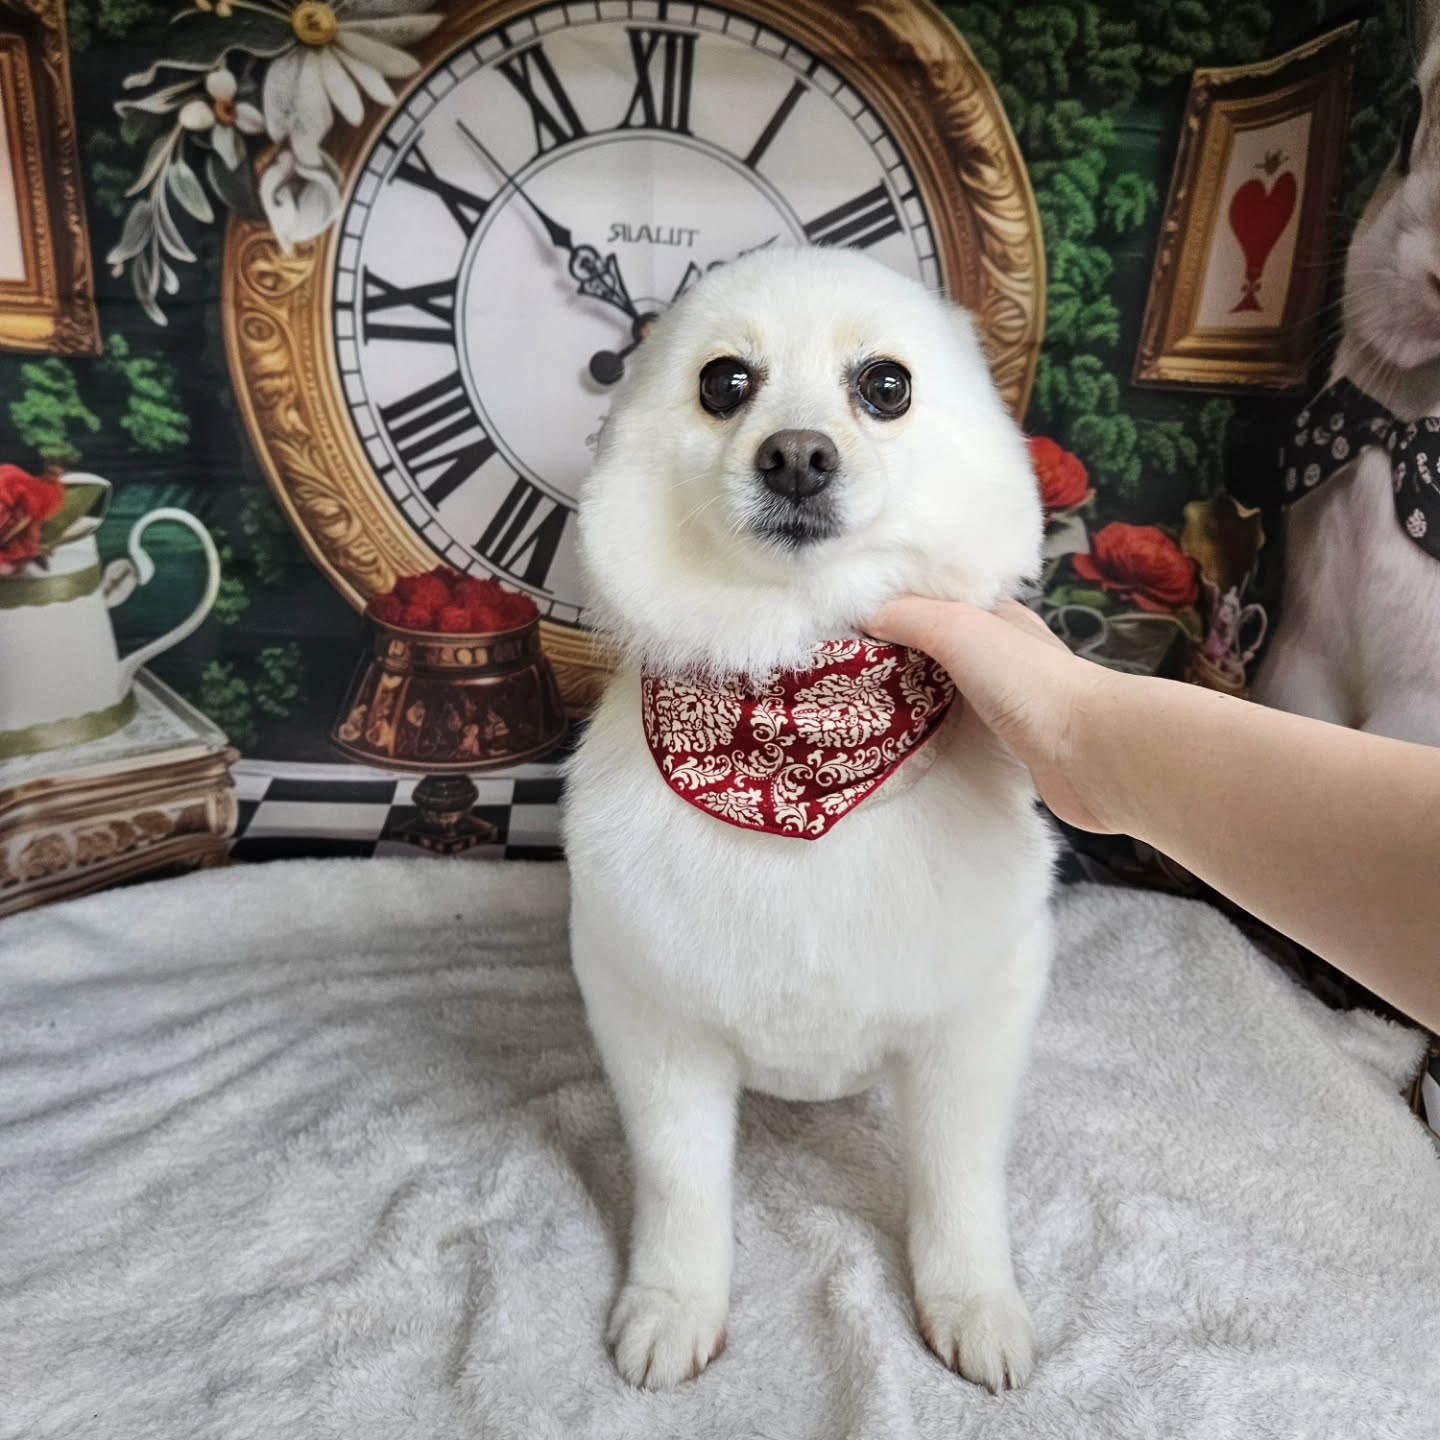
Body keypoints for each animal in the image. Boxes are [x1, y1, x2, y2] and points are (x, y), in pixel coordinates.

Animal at [564, 246, 1055, 1393]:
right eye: (724, 383)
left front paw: (973, 1301)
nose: (796, 456)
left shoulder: (979, 1015)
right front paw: (673, 1304)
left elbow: (959, 1183)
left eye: (887, 386)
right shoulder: (653, 1017)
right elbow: (679, 1184)